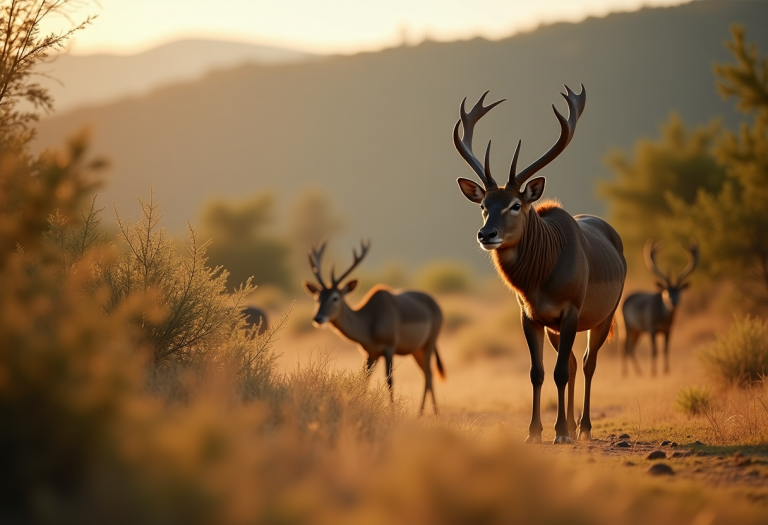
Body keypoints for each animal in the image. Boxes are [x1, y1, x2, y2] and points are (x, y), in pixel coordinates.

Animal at [300, 241, 444, 414]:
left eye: (335, 297)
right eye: (318, 297)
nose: (318, 318)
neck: (370, 319)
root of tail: (435, 304)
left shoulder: (389, 349)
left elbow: (390, 380)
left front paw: (392, 412)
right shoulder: (370, 353)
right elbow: (365, 379)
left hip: (429, 345)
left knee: (429, 374)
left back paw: (426, 414)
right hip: (417, 351)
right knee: (428, 374)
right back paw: (426, 414)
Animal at [452, 86, 628, 442]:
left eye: (516, 204)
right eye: (483, 204)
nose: (486, 234)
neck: (540, 281)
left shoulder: (570, 310)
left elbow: (559, 371)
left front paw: (559, 432)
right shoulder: (531, 316)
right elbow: (538, 372)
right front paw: (534, 432)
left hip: (606, 315)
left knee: (587, 363)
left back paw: (583, 428)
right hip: (557, 327)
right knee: (573, 362)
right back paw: (573, 425)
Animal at [620, 239, 700, 374]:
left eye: (679, 292)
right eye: (666, 291)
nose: (673, 302)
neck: (663, 318)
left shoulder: (668, 330)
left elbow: (665, 349)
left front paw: (666, 371)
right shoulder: (651, 328)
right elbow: (654, 350)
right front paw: (653, 372)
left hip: (637, 330)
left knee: (631, 348)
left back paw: (639, 372)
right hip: (627, 325)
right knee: (625, 347)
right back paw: (626, 373)